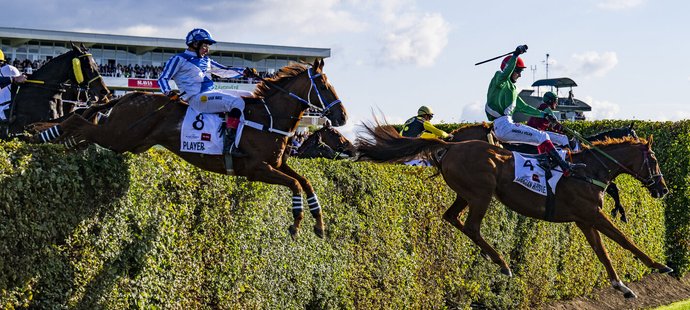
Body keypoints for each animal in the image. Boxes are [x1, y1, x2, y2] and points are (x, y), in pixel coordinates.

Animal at [32, 59, 344, 239]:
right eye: (324, 85)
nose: (342, 116)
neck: (267, 118)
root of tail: (129, 96)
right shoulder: (256, 169)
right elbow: (295, 184)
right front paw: (296, 223)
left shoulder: (277, 163)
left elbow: (306, 181)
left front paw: (319, 224)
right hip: (118, 134)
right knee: (77, 121)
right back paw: (41, 136)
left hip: (128, 141)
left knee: (83, 127)